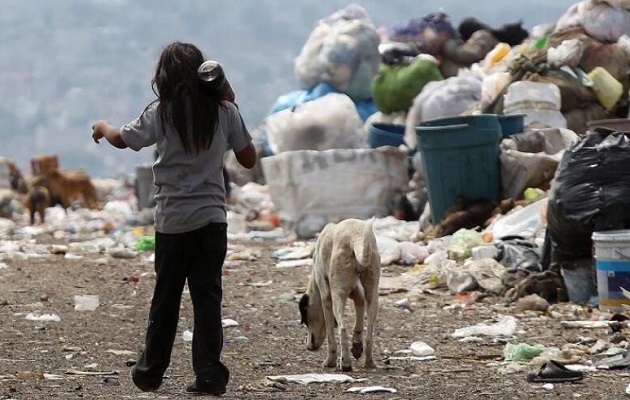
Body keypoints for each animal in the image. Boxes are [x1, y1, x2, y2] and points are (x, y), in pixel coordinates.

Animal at [300, 219, 382, 372]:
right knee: (369, 334)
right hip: (373, 293)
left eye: (306, 320)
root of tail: (355, 237)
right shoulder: (357, 292)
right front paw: (356, 345)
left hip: (338, 294)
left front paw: (330, 361)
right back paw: (369, 361)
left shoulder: (326, 297)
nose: (308, 347)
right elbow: (359, 317)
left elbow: (330, 333)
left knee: (342, 329)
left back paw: (345, 363)